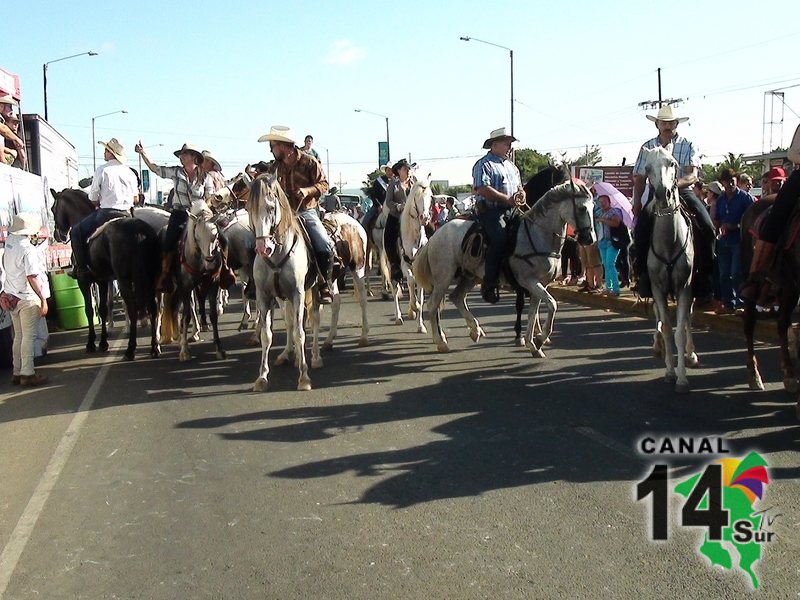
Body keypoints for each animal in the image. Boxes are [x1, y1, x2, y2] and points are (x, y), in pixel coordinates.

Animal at [245, 171, 320, 392]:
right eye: (249, 209)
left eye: (271, 208)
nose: (263, 248)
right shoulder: (264, 296)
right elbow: (267, 335)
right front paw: (262, 377)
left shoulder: (298, 293)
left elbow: (300, 333)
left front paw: (304, 378)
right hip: (282, 298)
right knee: (289, 322)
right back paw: (288, 354)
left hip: (314, 290)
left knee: (314, 320)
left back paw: (315, 357)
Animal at [392, 173, 434, 332]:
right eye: (416, 196)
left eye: (431, 196)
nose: (425, 218)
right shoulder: (405, 265)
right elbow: (410, 281)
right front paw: (413, 307)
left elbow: (421, 297)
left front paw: (420, 325)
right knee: (395, 289)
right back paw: (398, 317)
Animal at [412, 179, 592, 356]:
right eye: (582, 208)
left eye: (593, 207)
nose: (589, 238)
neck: (537, 235)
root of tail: (436, 235)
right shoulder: (529, 281)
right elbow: (552, 305)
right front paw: (539, 339)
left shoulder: (541, 284)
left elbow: (534, 312)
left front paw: (533, 344)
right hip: (444, 277)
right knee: (433, 305)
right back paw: (441, 341)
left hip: (470, 276)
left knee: (457, 297)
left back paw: (475, 330)